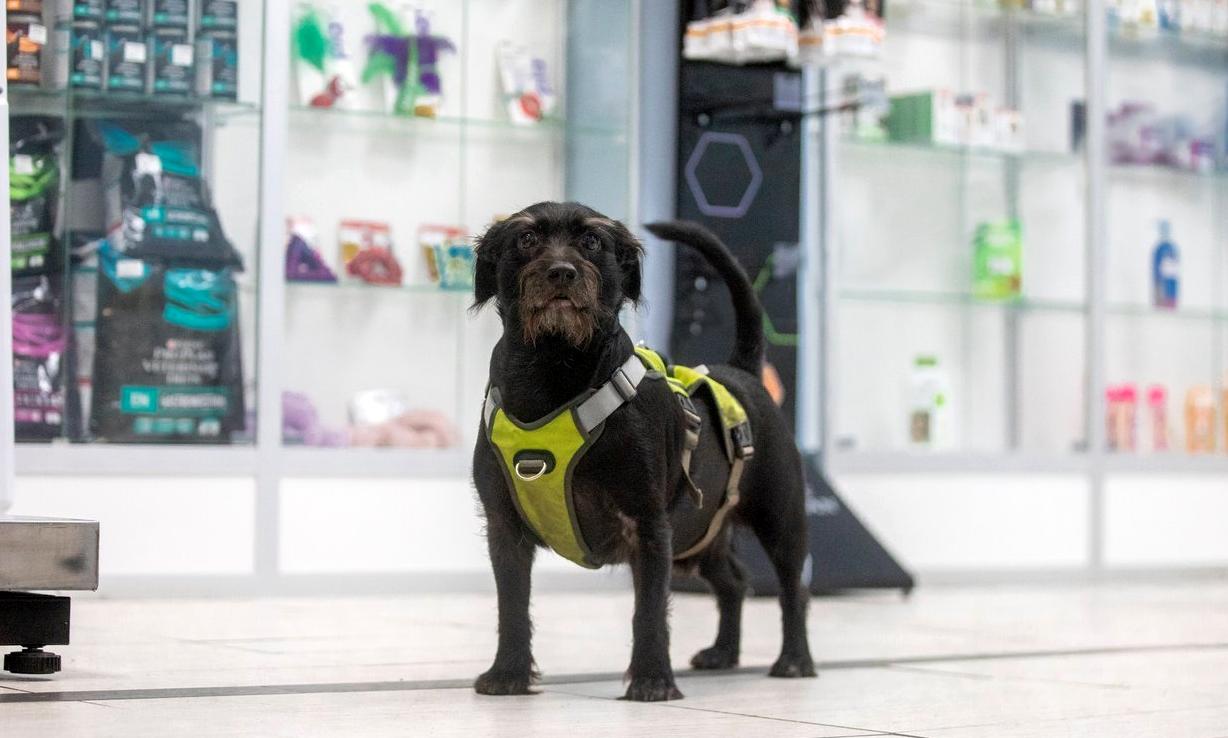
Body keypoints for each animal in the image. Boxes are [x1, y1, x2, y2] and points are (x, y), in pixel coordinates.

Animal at [471, 202, 815, 702]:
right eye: (527, 239)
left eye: (592, 241)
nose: (562, 272)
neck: (553, 367)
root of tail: (743, 372)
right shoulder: (504, 528)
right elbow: (511, 605)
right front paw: (508, 673)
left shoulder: (649, 523)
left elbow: (649, 609)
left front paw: (653, 679)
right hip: (700, 532)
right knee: (734, 581)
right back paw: (723, 653)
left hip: (778, 518)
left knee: (792, 588)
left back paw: (794, 660)